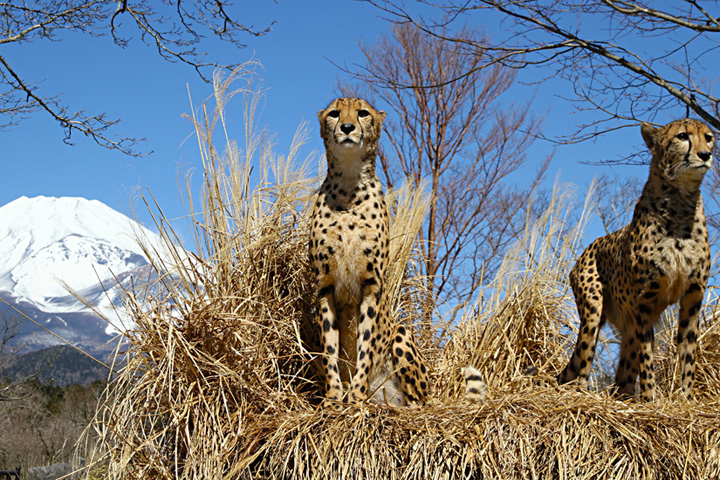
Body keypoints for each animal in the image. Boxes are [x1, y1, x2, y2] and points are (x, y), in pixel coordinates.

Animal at [308, 97, 428, 404]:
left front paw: (356, 396)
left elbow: (366, 343)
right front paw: (334, 397)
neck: (349, 186)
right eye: (334, 114)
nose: (348, 127)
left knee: (420, 400)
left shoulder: (372, 283)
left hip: (401, 333)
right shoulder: (325, 284)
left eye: (362, 113)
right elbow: (329, 347)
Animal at [560, 120, 712, 402]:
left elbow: (688, 353)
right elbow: (647, 358)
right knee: (583, 365)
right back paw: (585, 394)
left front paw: (685, 399)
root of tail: (587, 249)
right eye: (682, 137)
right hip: (593, 311)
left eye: (708, 137)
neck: (681, 204)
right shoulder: (645, 300)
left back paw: (624, 396)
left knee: (622, 377)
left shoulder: (694, 295)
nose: (706, 155)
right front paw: (651, 399)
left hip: (627, 323)